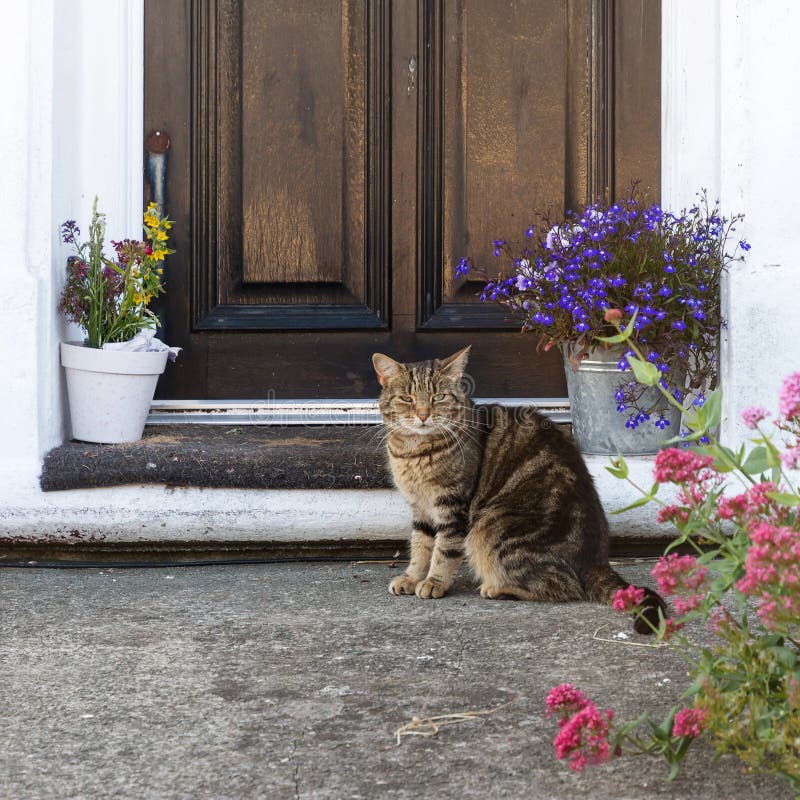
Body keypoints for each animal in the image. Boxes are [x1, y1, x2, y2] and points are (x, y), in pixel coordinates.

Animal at [372, 346, 664, 636]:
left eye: (439, 397)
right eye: (407, 398)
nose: (423, 415)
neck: (414, 451)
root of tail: (596, 561)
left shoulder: (453, 506)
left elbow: (444, 550)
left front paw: (434, 582)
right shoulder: (420, 509)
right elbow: (420, 547)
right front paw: (411, 578)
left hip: (493, 528)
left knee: (563, 586)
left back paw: (497, 587)